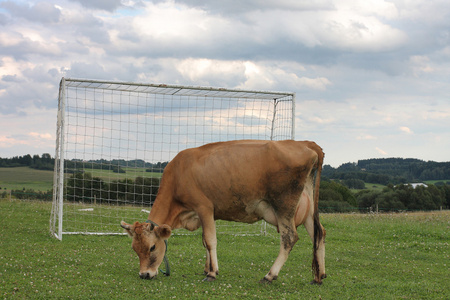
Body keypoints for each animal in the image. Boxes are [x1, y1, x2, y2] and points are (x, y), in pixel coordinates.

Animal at [121, 140, 326, 284]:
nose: (144, 275)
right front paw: (207, 268)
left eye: (152, 247)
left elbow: (210, 240)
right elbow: (205, 242)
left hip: (284, 207)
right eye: (134, 249)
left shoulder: (204, 207)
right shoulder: (205, 214)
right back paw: (319, 276)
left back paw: (269, 275)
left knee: (289, 238)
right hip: (307, 209)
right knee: (319, 233)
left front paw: (212, 273)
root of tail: (304, 143)